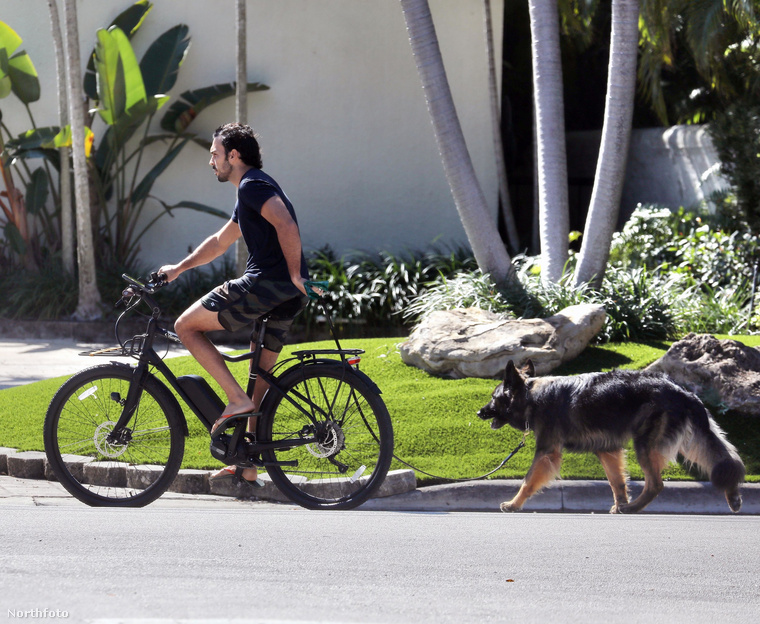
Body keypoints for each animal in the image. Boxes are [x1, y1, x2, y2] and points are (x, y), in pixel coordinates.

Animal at [478, 358, 744, 516]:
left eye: (494, 398)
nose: (479, 412)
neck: (531, 395)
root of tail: (682, 391)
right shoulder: (607, 449)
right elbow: (617, 482)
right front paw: (619, 503)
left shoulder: (546, 452)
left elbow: (528, 480)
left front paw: (514, 504)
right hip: (688, 442)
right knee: (723, 460)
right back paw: (733, 496)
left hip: (646, 445)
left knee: (656, 484)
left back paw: (634, 508)